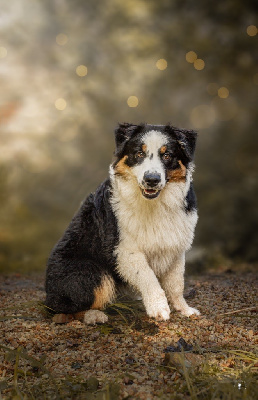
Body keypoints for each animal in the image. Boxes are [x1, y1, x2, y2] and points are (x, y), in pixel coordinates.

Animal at [45, 122, 200, 324]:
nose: (152, 179)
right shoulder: (125, 250)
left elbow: (176, 285)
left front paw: (184, 309)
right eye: (139, 153)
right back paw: (94, 315)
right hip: (92, 271)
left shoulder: (175, 248)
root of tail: (48, 294)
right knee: (65, 309)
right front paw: (159, 308)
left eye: (167, 155)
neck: (154, 204)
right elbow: (148, 277)